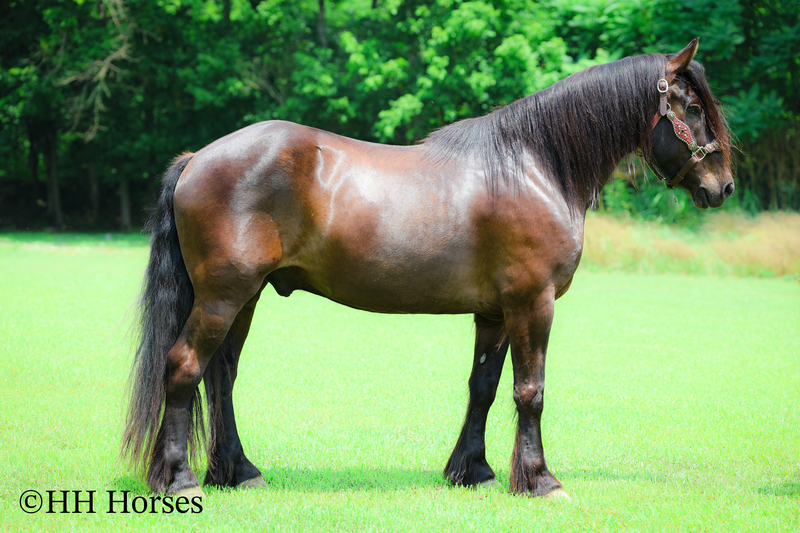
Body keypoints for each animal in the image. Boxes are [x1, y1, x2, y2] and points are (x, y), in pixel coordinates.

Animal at [122, 39, 733, 499]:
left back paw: (239, 472)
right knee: (184, 369)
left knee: (220, 377)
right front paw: (540, 481)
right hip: (223, 296)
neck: (535, 165)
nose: (722, 187)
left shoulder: (495, 312)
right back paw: (180, 480)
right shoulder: (532, 302)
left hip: (243, 298)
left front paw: (473, 471)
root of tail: (197, 159)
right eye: (692, 109)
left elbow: (484, 387)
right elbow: (530, 391)